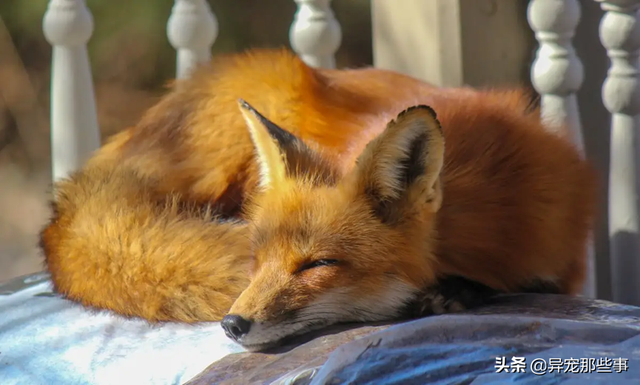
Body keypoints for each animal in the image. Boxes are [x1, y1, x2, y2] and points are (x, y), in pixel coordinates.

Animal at [40, 47, 596, 348]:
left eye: (316, 265)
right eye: (257, 258)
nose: (231, 324)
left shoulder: (560, 260)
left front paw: (459, 292)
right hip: (271, 85)